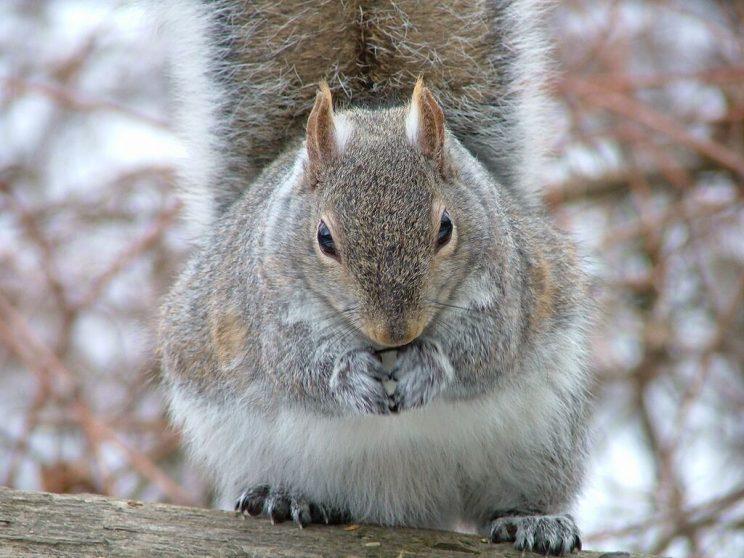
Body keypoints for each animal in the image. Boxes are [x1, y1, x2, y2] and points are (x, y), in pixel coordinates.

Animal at [157, 1, 593, 555]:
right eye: (324, 238)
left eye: (445, 228)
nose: (395, 332)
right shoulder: (265, 308)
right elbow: (296, 368)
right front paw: (349, 377)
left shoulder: (508, 285)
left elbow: (484, 350)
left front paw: (428, 365)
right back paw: (284, 497)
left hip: (542, 441)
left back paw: (535, 521)